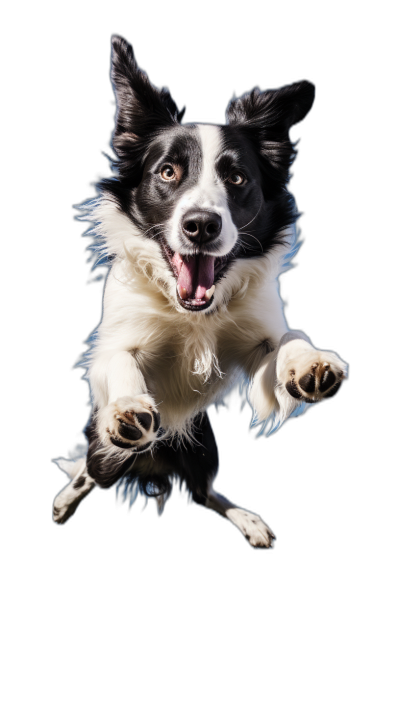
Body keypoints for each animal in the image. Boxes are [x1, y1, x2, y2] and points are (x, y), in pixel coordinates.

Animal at [53, 36, 346, 548]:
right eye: (168, 172)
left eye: (237, 178)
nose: (201, 225)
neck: (191, 311)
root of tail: (155, 464)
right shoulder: (112, 343)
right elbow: (120, 360)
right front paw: (128, 406)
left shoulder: (258, 349)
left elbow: (288, 339)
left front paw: (311, 364)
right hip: (108, 455)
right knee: (92, 471)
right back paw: (65, 501)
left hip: (205, 449)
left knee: (204, 492)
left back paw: (248, 521)